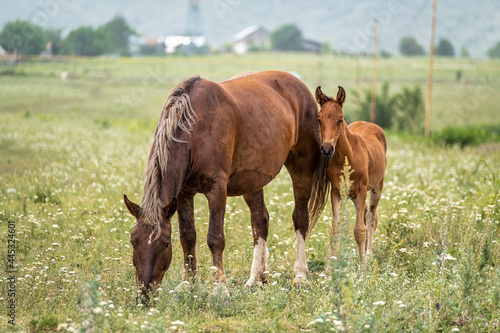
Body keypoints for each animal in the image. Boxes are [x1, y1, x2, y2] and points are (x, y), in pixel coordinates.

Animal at [123, 70, 330, 300]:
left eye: (165, 244)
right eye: (133, 241)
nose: (144, 296)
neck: (194, 127)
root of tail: (297, 84)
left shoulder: (217, 189)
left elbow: (215, 238)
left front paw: (220, 289)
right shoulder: (184, 194)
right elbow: (188, 237)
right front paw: (188, 285)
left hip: (301, 169)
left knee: (300, 219)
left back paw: (300, 276)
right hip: (253, 181)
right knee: (260, 222)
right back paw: (256, 279)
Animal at [310, 86, 388, 268]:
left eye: (340, 119)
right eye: (319, 119)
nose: (326, 149)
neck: (347, 156)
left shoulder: (361, 191)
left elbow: (359, 230)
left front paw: (363, 267)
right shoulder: (337, 192)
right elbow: (335, 229)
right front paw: (330, 267)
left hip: (376, 187)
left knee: (371, 217)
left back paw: (368, 253)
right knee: (366, 214)